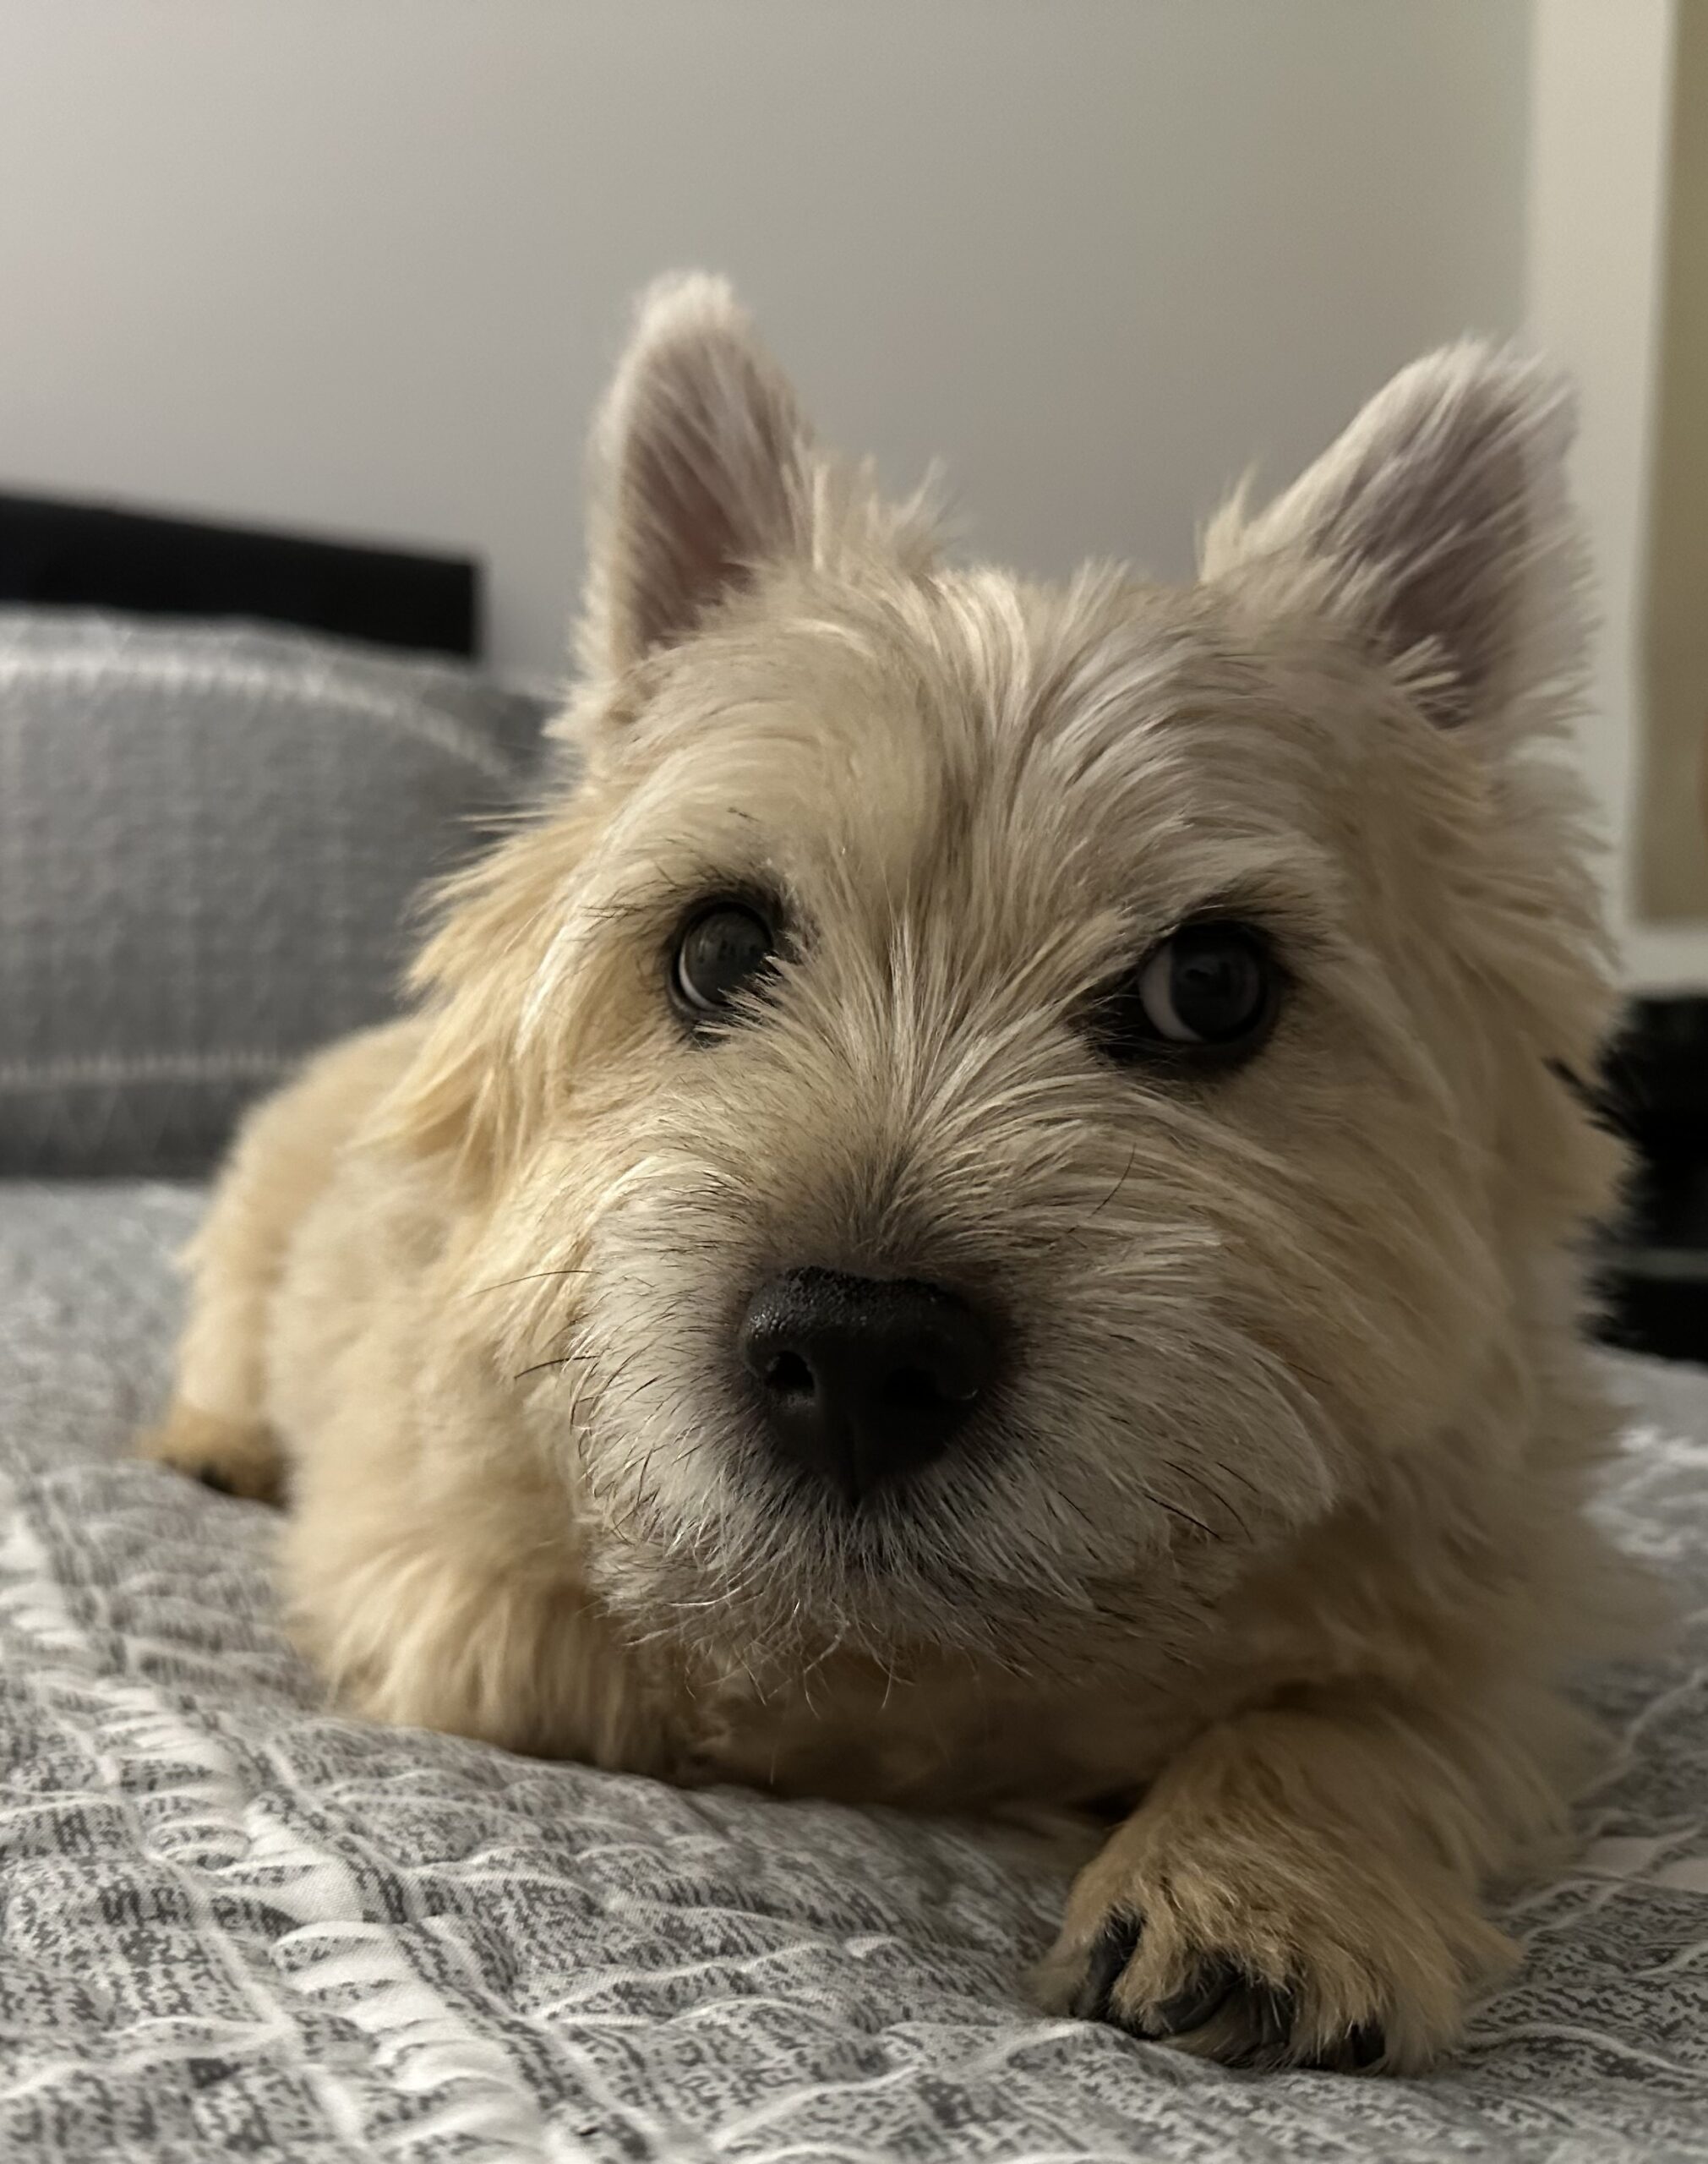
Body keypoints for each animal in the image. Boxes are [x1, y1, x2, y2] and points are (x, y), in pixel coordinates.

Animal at [143, 273, 1637, 2074]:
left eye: (1212, 987)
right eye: (717, 946)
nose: (856, 1354)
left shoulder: (1507, 1632)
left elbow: (1360, 1713)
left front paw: (1260, 1877)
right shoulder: (430, 1574)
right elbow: (594, 1665)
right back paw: (217, 1439)